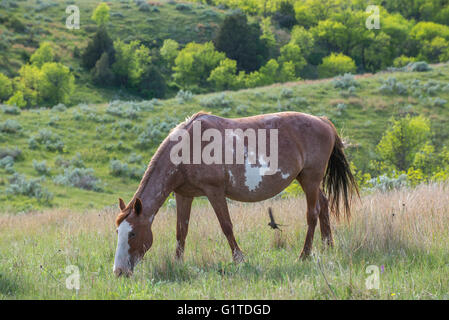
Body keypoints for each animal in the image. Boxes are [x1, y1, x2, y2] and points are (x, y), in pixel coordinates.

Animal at [113, 111, 356, 276]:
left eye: (132, 234)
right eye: (118, 232)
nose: (119, 271)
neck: (188, 147)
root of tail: (323, 121)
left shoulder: (214, 191)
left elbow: (226, 226)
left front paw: (239, 259)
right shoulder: (183, 194)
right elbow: (181, 231)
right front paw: (178, 263)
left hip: (310, 179)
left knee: (312, 214)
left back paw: (304, 255)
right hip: (308, 181)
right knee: (324, 205)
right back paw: (328, 246)